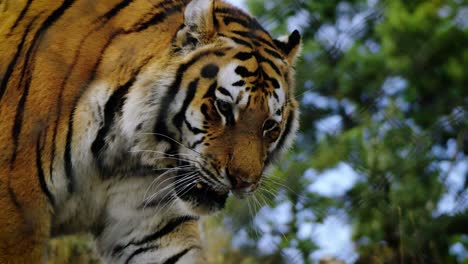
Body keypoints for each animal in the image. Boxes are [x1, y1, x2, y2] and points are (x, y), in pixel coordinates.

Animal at [0, 0, 300, 262]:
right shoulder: (18, 212)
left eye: (270, 125)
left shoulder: (150, 227)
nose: (243, 182)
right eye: (224, 107)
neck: (120, 151)